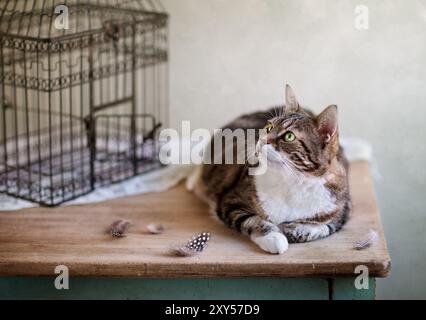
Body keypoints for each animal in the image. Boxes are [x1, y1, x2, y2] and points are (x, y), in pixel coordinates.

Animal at [188, 85, 352, 255]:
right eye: (269, 127)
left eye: (289, 136)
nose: (262, 140)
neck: (291, 181)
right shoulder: (230, 199)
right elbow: (250, 219)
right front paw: (274, 237)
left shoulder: (342, 206)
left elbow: (325, 227)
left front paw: (291, 229)